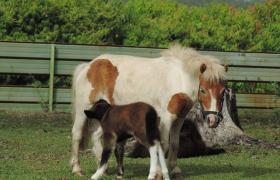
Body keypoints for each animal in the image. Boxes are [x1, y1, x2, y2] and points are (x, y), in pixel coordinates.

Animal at [70, 44, 228, 179]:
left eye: (223, 91)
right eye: (203, 90)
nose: (213, 120)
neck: (179, 78)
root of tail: (89, 66)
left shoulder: (179, 118)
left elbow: (175, 144)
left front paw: (175, 170)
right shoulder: (166, 118)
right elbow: (163, 145)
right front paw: (159, 173)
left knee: (96, 136)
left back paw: (103, 169)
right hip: (83, 110)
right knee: (77, 134)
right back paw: (77, 169)